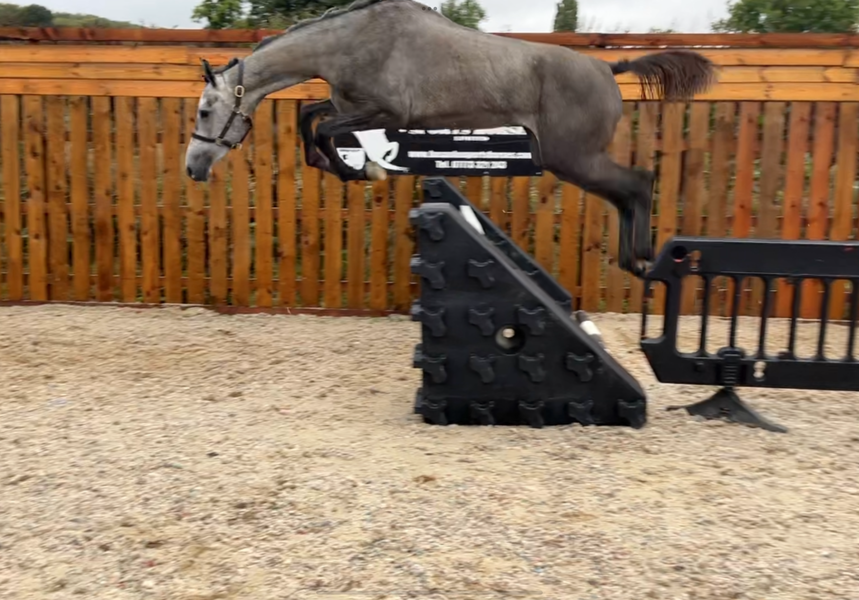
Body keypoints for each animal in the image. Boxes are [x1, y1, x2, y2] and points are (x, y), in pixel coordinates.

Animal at [184, 0, 716, 276]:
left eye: (206, 110)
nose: (193, 167)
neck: (353, 43)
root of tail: (609, 68)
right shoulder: (350, 106)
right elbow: (310, 117)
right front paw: (339, 167)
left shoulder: (386, 112)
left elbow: (325, 130)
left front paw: (362, 170)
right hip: (572, 159)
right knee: (627, 191)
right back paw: (634, 262)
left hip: (573, 157)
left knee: (639, 182)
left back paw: (642, 261)